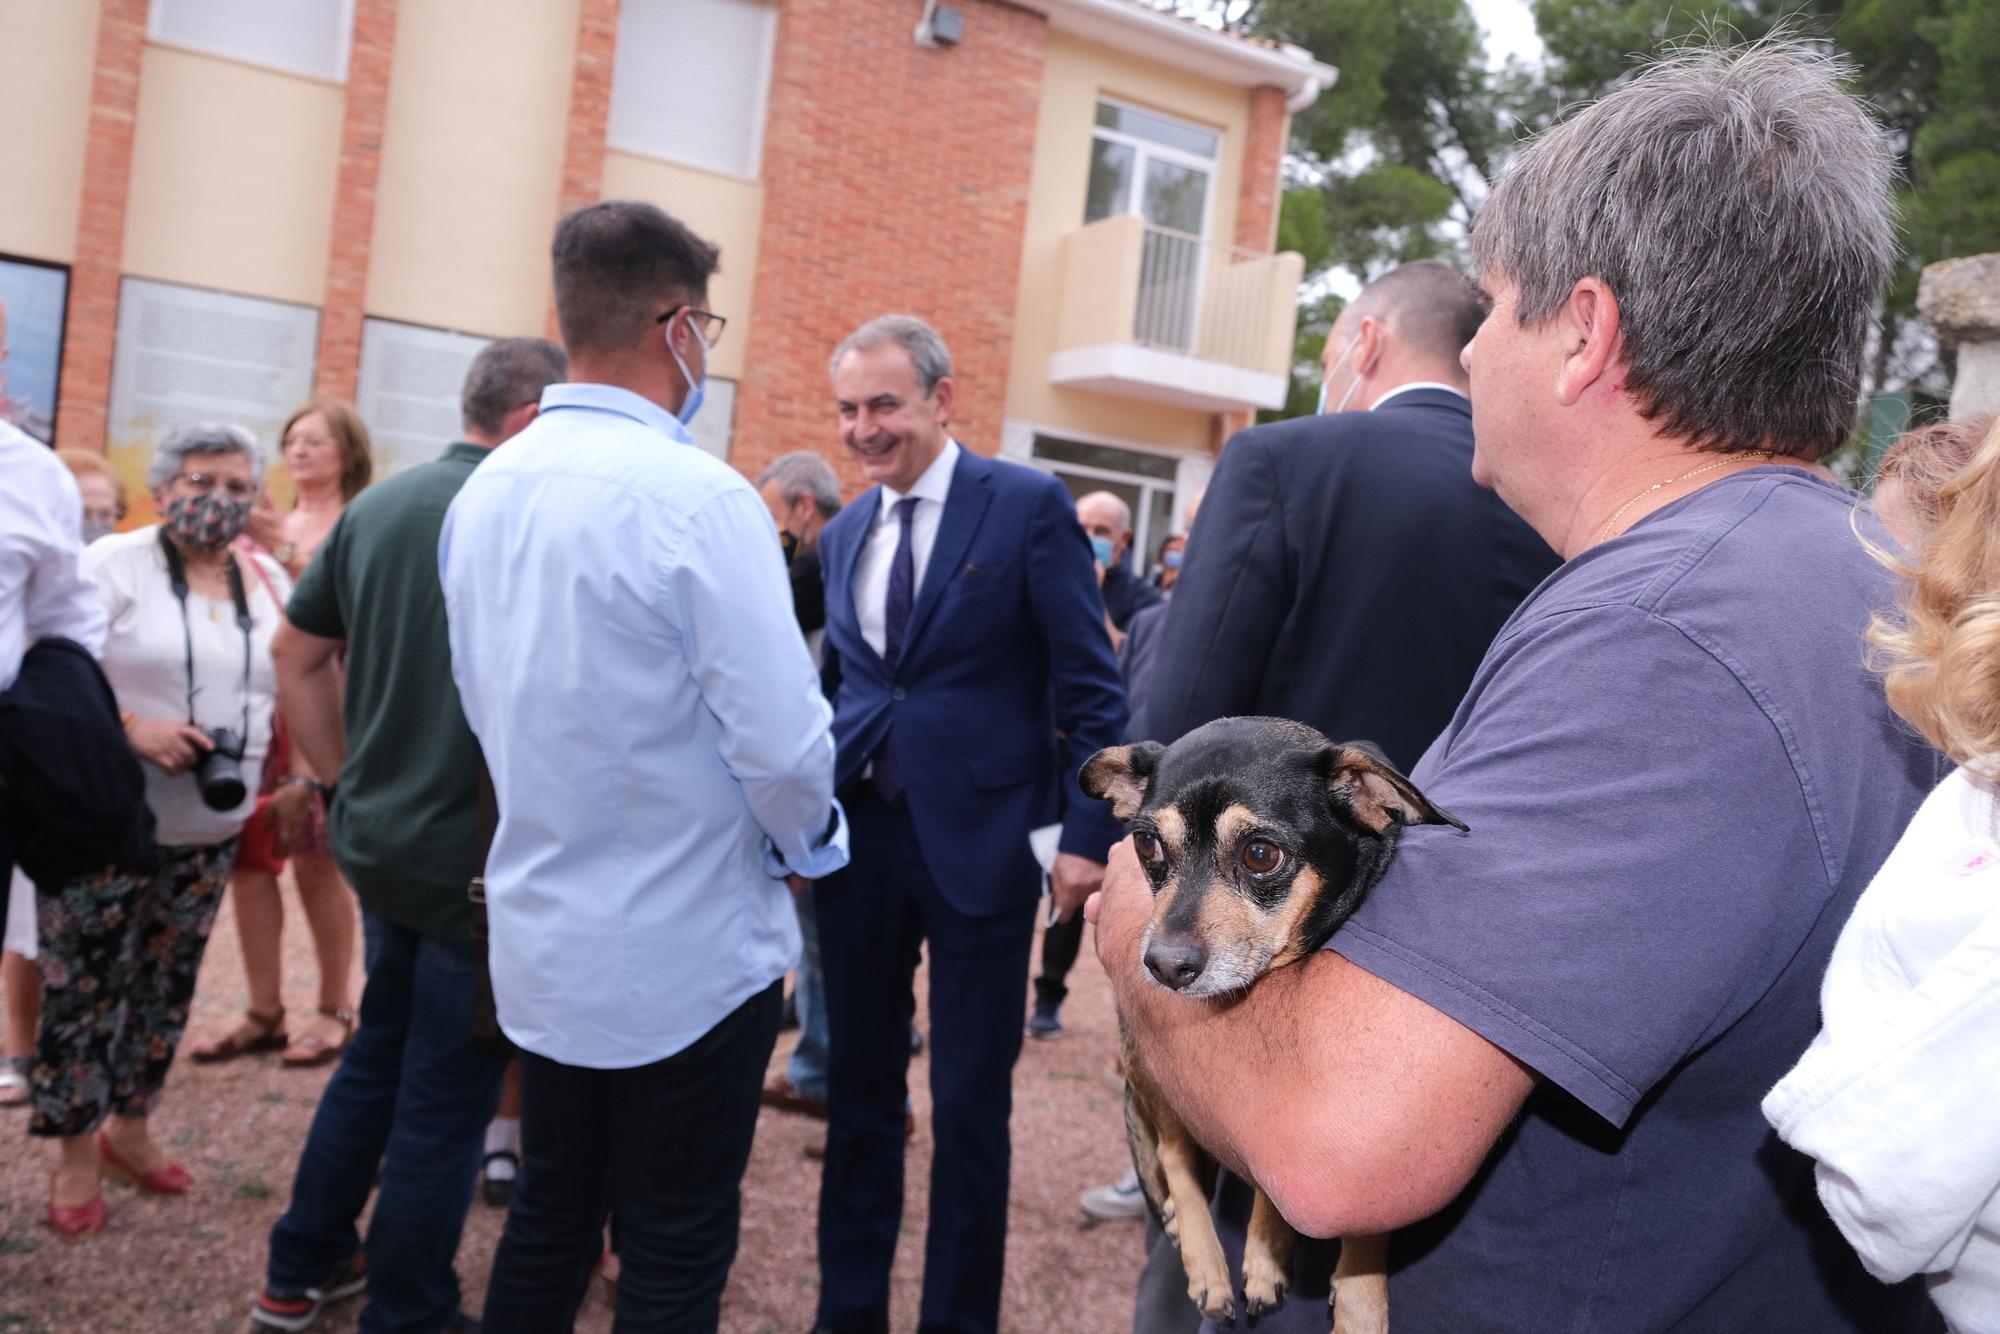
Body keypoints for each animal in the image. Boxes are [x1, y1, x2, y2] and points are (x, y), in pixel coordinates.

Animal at [1088, 720, 1464, 1334]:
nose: (1163, 965)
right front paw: (1264, 1258)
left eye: (1260, 854)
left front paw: (1357, 1293)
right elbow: (1189, 1162)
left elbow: (1363, 1224)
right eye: (1147, 845)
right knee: (1173, 1155)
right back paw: (1206, 1263)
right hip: (1148, 1066)